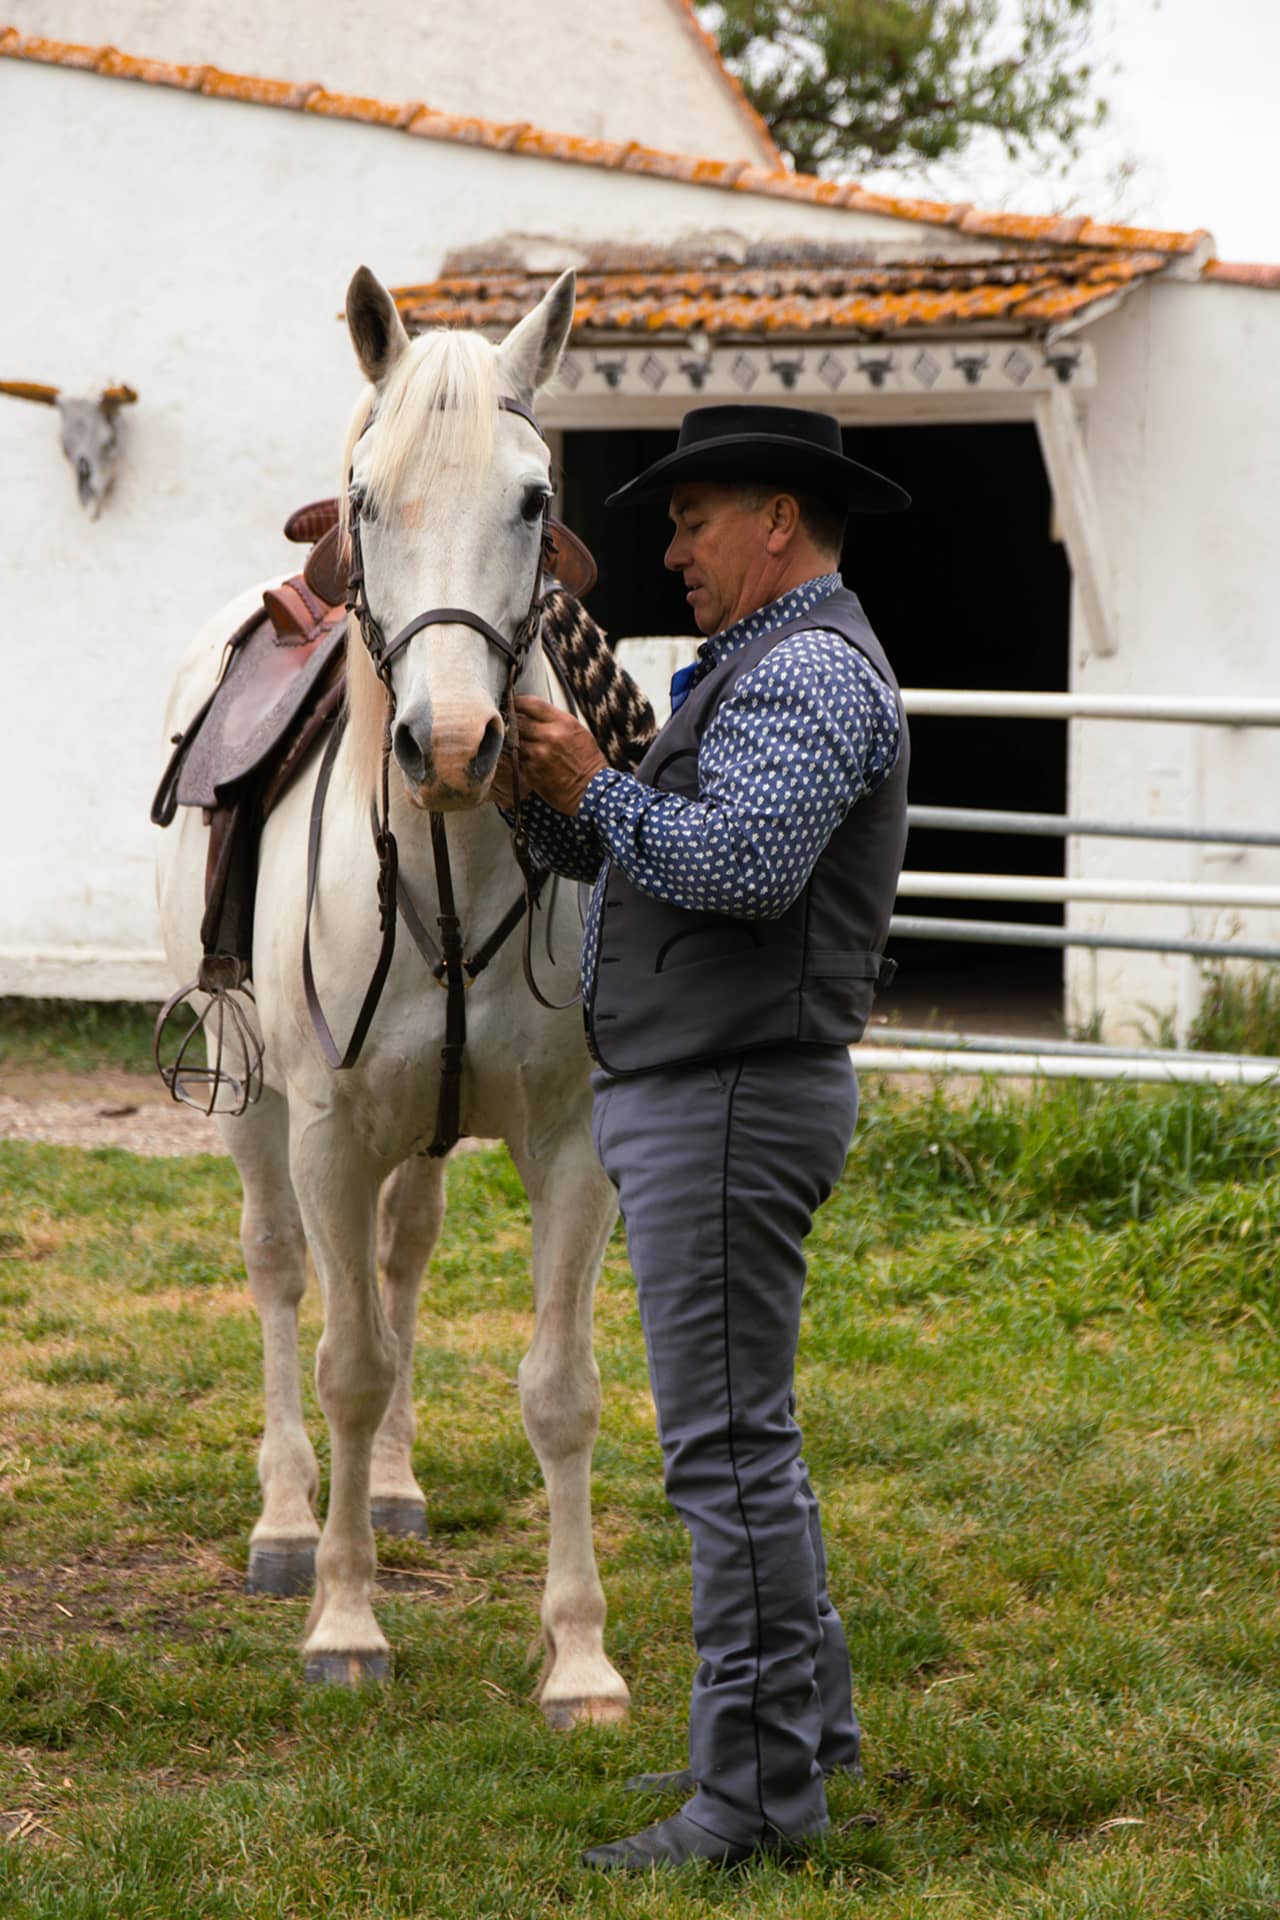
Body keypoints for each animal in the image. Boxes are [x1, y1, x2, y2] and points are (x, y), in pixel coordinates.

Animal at [155, 270, 629, 1728]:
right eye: (367, 499)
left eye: (535, 500)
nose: (457, 744)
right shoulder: (326, 1133)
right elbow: (348, 1367)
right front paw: (344, 1621)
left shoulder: (569, 1144)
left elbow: (559, 1389)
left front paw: (580, 1658)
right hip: (250, 1102)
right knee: (282, 1273)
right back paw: (289, 1522)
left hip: (423, 1136)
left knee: (399, 1259)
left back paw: (402, 1491)